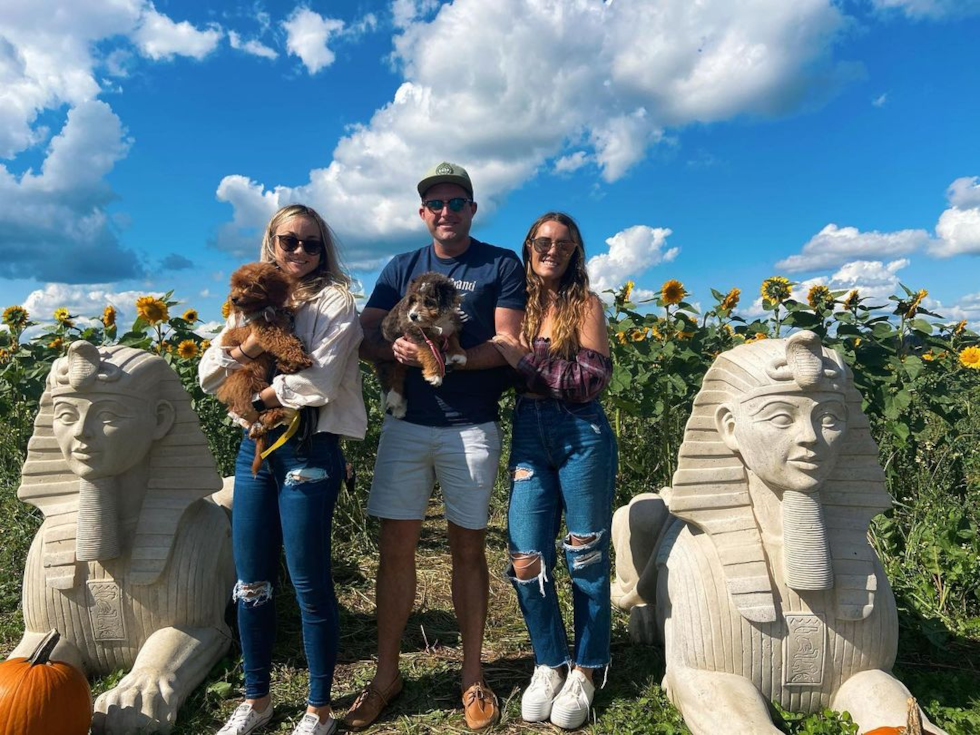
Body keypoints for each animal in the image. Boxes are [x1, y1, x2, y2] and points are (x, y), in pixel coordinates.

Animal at [216, 262, 312, 442]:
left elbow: (291, 339)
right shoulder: (265, 332)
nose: (233, 299)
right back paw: (273, 415)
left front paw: (292, 362)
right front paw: (299, 358)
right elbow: (283, 342)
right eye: (235, 286)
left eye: (248, 285)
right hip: (248, 377)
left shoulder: (281, 323)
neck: (264, 309)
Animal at [376, 272, 468, 420]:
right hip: (389, 357)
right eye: (413, 301)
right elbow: (430, 352)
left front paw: (458, 354)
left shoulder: (450, 325)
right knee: (393, 377)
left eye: (428, 302)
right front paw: (435, 375)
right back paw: (395, 402)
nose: (413, 316)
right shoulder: (416, 333)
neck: (436, 321)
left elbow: (453, 338)